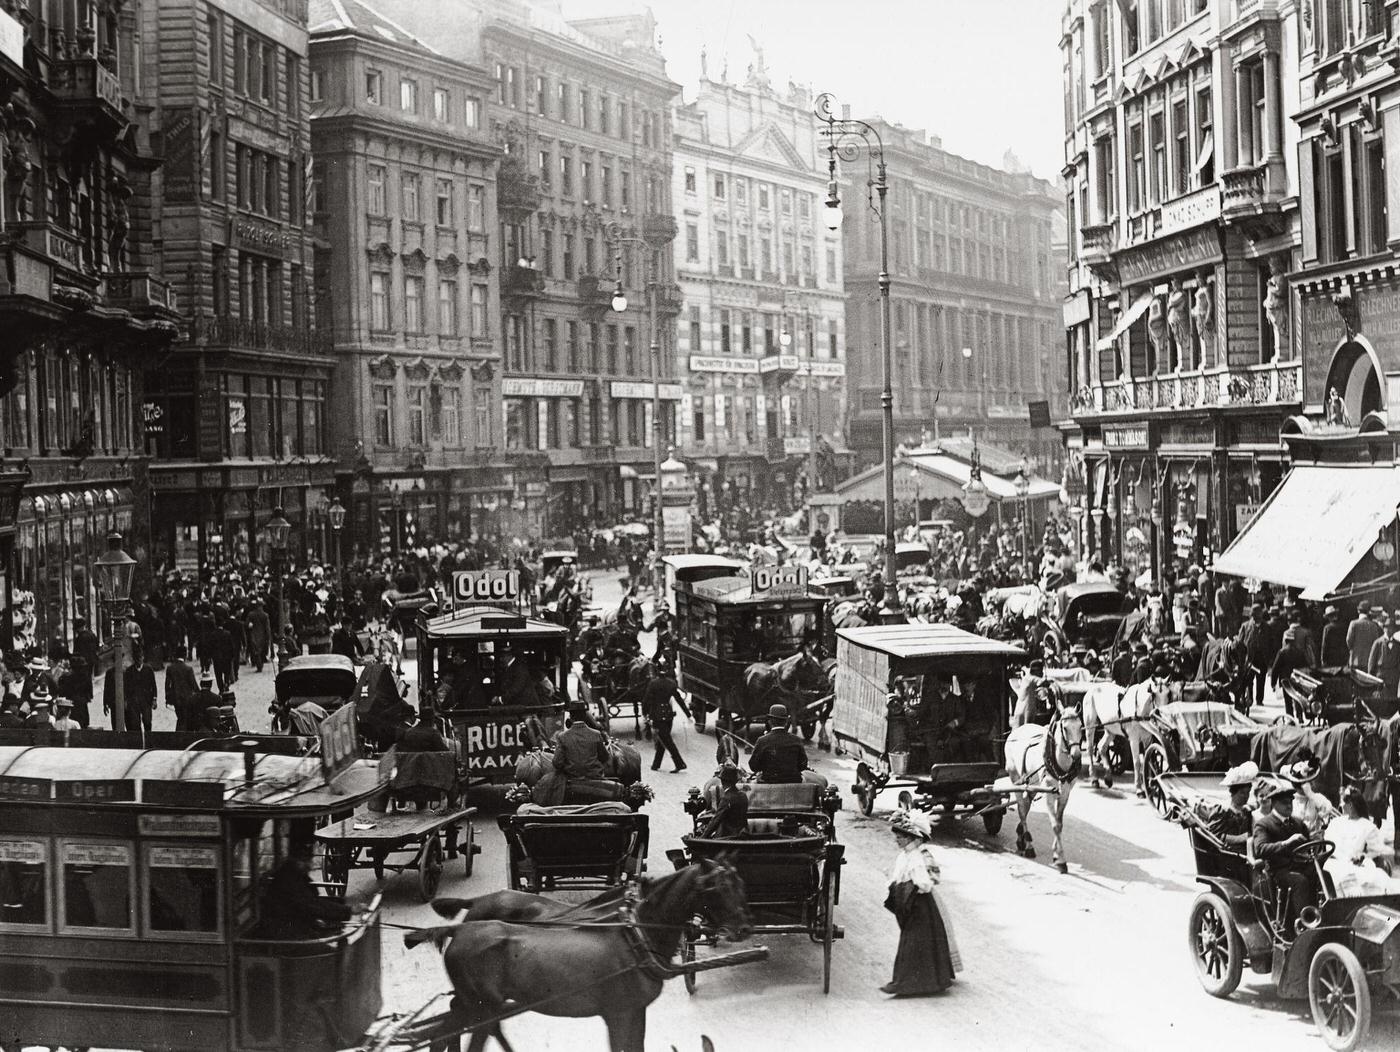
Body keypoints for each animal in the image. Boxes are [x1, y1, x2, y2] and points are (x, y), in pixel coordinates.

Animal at [406, 857, 756, 1052]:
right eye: (715, 889)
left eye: (740, 883)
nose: (742, 929)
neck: (636, 936)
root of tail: (461, 927)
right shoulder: (618, 1013)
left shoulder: (635, 1010)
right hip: (482, 1007)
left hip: (476, 1006)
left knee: (444, 1031)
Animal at [1002, 711, 1086, 874]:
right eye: (1065, 728)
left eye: (1080, 726)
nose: (1077, 755)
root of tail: (1016, 731)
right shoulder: (1049, 793)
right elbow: (1055, 825)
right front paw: (1061, 861)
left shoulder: (1065, 793)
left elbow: (1059, 823)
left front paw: (1056, 855)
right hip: (1015, 778)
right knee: (1022, 809)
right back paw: (1028, 846)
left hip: (1032, 784)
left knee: (1026, 804)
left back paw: (1021, 837)